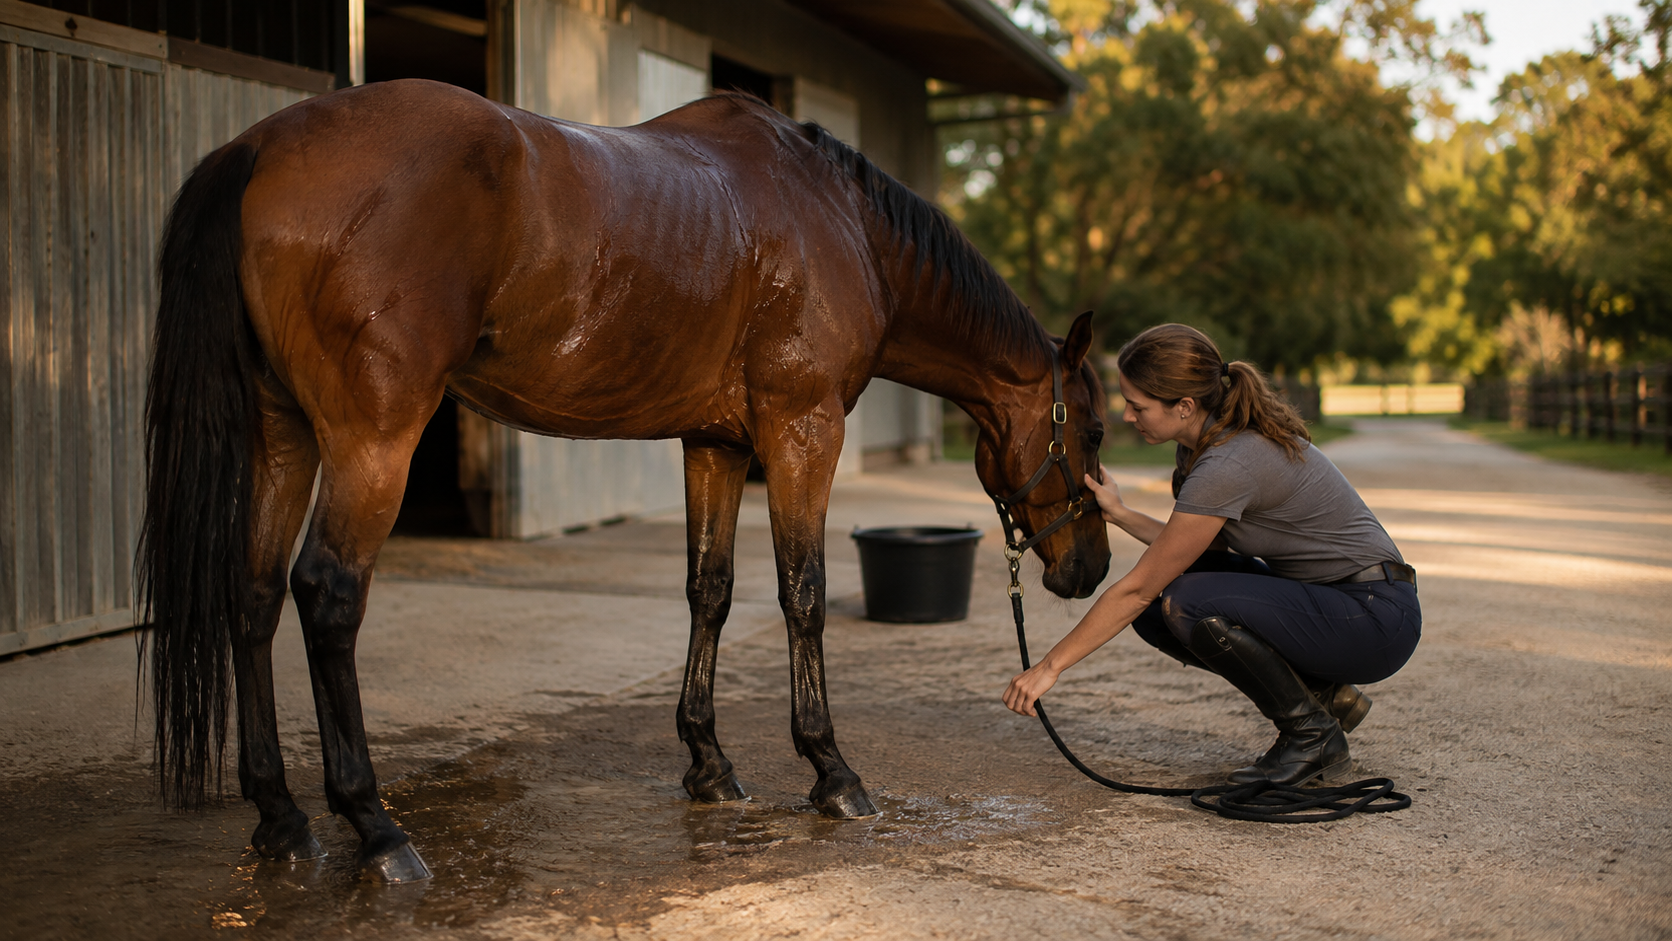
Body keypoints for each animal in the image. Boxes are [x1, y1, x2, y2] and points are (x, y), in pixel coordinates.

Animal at [138, 79, 1111, 882]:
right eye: (1096, 430)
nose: (1093, 568)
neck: (843, 224)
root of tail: (259, 147)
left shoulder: (715, 444)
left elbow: (709, 590)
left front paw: (710, 764)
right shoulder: (803, 432)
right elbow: (802, 592)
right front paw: (832, 770)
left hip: (284, 436)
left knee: (254, 593)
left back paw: (282, 819)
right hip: (371, 441)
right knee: (327, 593)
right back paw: (376, 828)